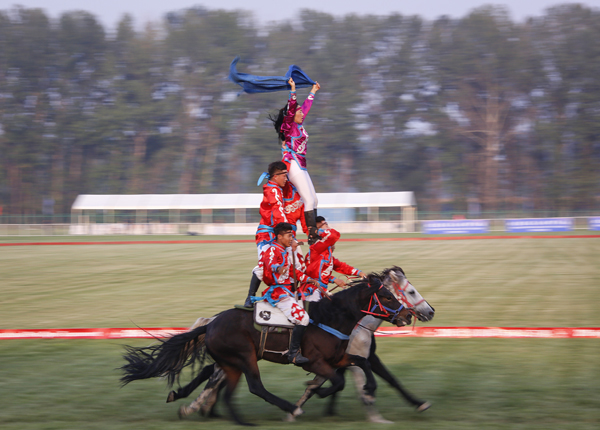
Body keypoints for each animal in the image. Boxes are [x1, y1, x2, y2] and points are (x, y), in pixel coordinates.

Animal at [121, 274, 412, 424]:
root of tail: (212, 324)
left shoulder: (338, 357)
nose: (408, 315)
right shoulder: (314, 361)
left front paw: (369, 388)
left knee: (224, 387)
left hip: (232, 364)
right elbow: (338, 381)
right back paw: (290, 408)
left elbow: (361, 364)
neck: (331, 318)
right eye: (387, 296)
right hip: (245, 357)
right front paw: (316, 392)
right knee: (255, 387)